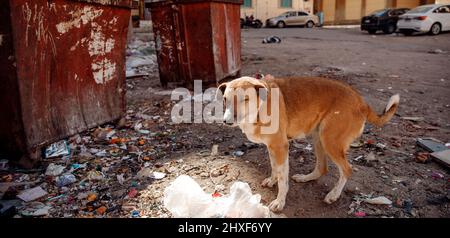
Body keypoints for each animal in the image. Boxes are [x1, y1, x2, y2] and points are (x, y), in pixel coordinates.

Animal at [216, 76, 400, 212]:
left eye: (245, 99)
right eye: (225, 99)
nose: (226, 121)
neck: (260, 108)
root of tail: (361, 101)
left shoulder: (281, 147)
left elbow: (283, 178)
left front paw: (279, 202)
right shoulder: (272, 147)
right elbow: (275, 168)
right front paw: (272, 181)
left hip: (329, 141)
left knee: (347, 170)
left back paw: (333, 195)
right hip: (318, 137)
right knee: (322, 168)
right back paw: (305, 178)